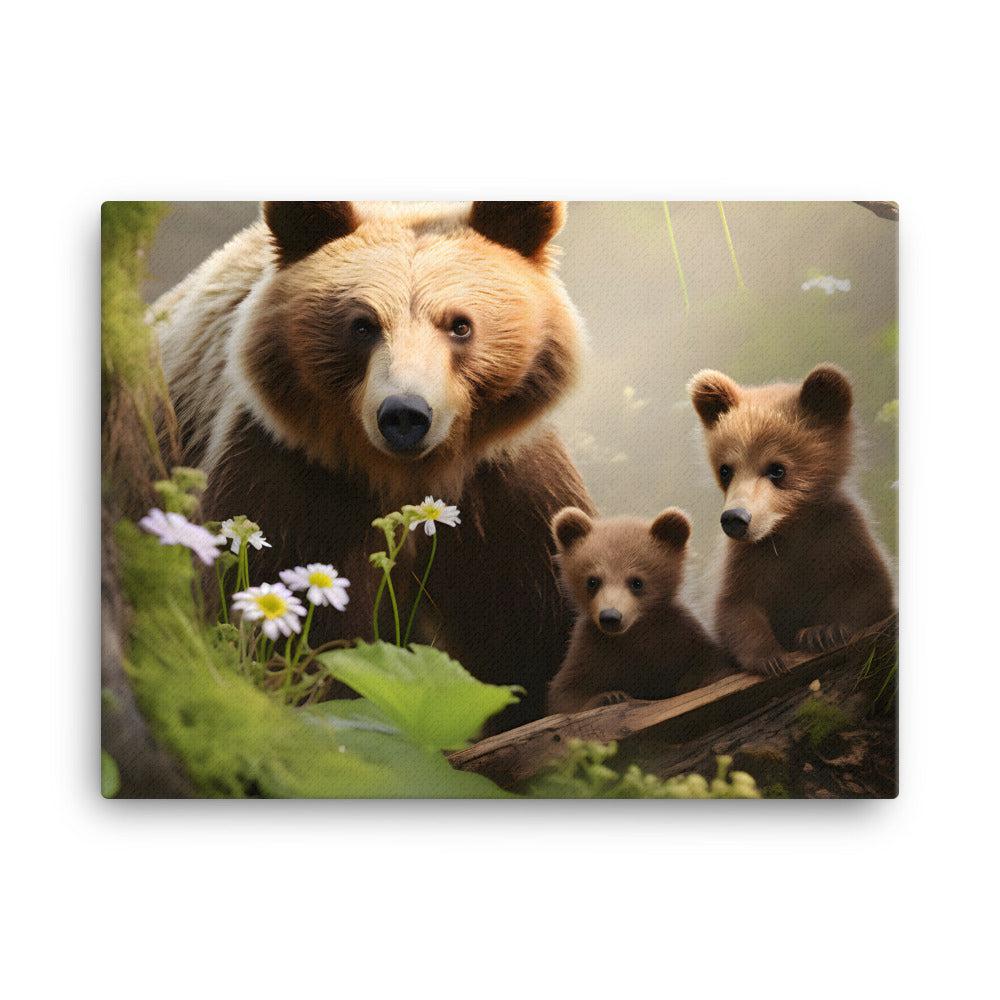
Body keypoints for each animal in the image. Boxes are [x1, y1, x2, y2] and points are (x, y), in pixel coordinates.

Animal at [152, 201, 595, 730]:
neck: (406, 478)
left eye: (460, 324)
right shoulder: (288, 480)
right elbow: (265, 614)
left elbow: (536, 630)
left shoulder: (506, 496)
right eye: (362, 324)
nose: (405, 414)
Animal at [546, 506, 734, 714]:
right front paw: (610, 696)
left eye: (637, 582)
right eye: (592, 581)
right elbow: (565, 692)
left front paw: (689, 682)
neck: (635, 632)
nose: (610, 616)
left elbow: (712, 663)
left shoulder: (679, 634)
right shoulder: (590, 649)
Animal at [687, 363, 895, 676]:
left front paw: (823, 631)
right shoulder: (750, 558)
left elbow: (869, 587)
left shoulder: (841, 534)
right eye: (726, 470)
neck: (790, 526)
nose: (735, 518)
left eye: (777, 469)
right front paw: (770, 657)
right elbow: (736, 606)